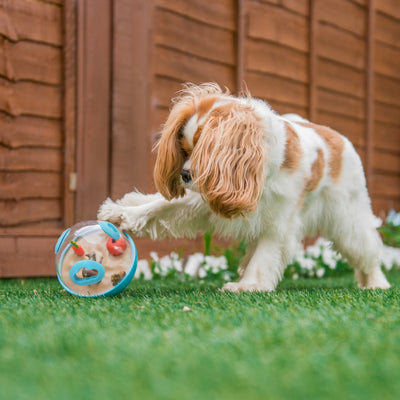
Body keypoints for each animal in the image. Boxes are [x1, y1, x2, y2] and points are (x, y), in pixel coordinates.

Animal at [99, 83, 390, 292]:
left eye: (204, 151)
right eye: (185, 150)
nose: (184, 174)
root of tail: (339, 138)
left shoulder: (279, 222)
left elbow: (265, 255)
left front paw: (249, 285)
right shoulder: (208, 195)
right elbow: (160, 205)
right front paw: (123, 214)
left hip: (348, 219)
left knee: (368, 251)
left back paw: (376, 284)